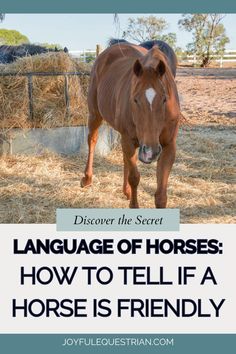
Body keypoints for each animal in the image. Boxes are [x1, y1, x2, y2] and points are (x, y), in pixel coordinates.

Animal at [81, 42, 181, 207]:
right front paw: (134, 205)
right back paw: (87, 178)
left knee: (124, 158)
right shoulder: (128, 139)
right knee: (92, 141)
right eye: (135, 99)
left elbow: (161, 195)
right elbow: (134, 178)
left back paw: (126, 190)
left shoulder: (168, 146)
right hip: (95, 114)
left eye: (165, 99)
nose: (150, 152)